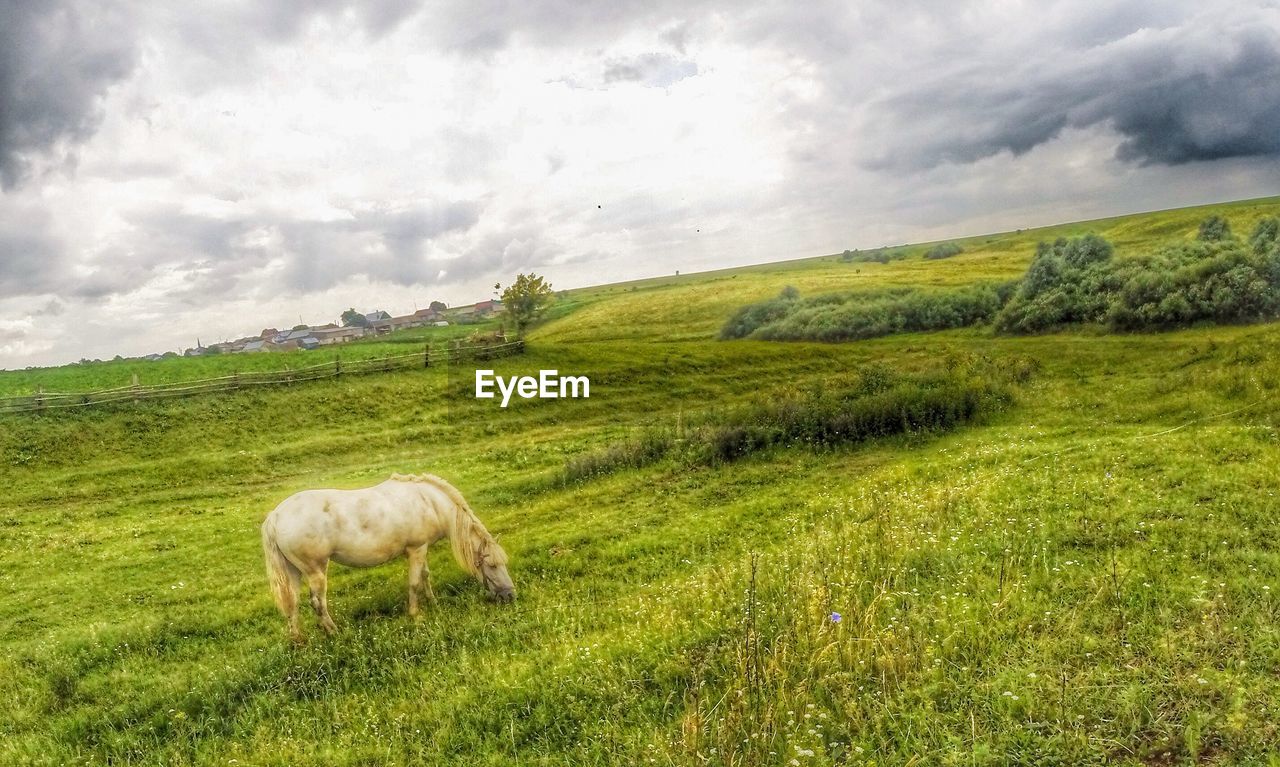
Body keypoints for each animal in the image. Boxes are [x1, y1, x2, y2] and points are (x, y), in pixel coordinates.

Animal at [259, 473, 514, 642]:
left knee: (292, 602)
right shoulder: (416, 549)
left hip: (293, 570)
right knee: (317, 603)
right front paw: (415, 615)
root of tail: (276, 516)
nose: (511, 595)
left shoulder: (421, 549)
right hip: (315, 570)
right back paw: (334, 632)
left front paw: (433, 601)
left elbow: (425, 575)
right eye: (492, 565)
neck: (429, 502)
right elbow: (414, 582)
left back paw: (298, 640)